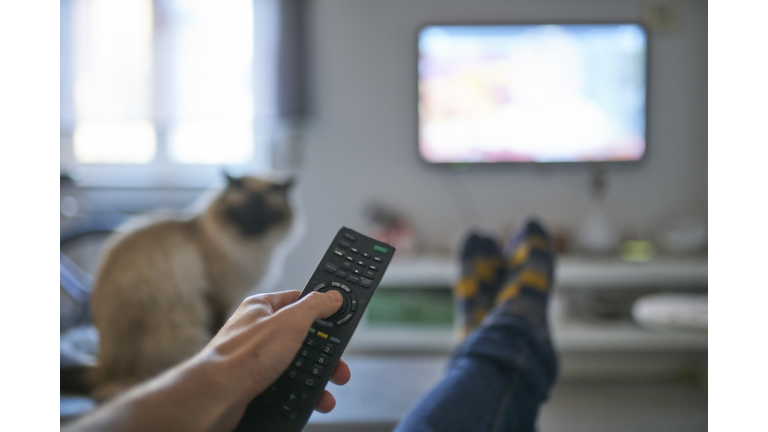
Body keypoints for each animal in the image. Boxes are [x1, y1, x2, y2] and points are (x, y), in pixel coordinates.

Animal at [88, 174, 296, 400]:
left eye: (268, 215)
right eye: (241, 213)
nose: (255, 229)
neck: (250, 251)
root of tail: (102, 367)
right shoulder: (218, 297)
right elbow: (219, 326)